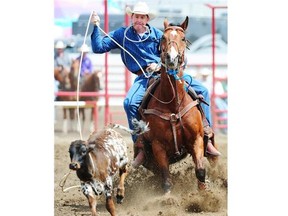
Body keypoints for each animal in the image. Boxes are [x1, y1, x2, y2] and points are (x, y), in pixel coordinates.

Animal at [136, 15, 217, 194]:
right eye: (163, 38)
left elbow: (200, 171)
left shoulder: (196, 139)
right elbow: (166, 179)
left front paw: (204, 194)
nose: (171, 59)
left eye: (183, 38)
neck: (173, 104)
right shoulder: (158, 146)